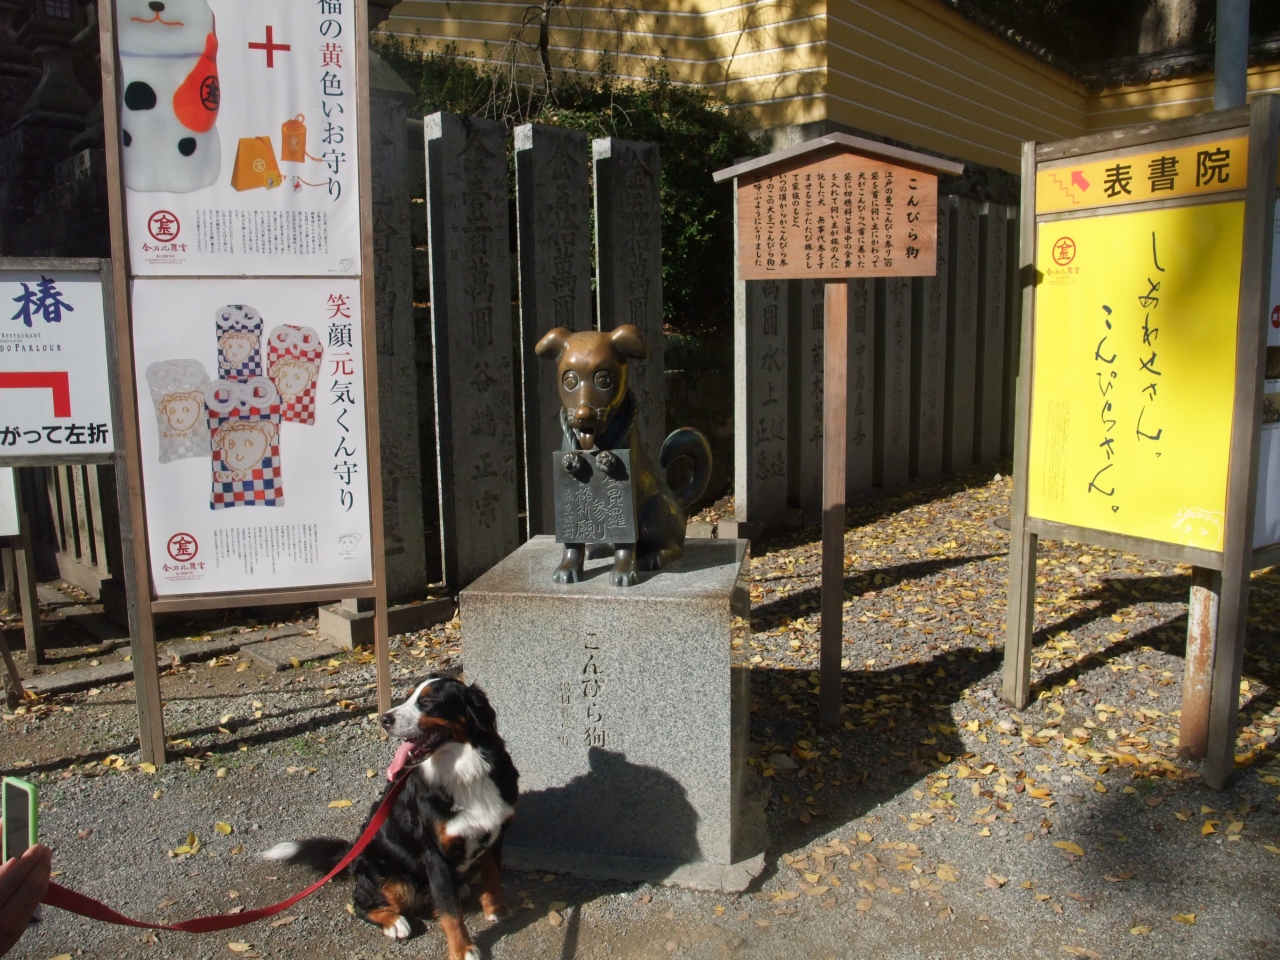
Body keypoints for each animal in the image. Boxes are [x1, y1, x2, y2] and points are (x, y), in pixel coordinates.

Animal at [259, 675, 519, 960]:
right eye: (407, 697)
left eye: (427, 701)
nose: (384, 719)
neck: (465, 773)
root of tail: (352, 854)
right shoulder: (436, 855)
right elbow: (451, 913)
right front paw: (462, 949)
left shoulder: (495, 833)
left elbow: (492, 876)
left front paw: (496, 908)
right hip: (389, 877)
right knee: (361, 903)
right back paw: (394, 922)